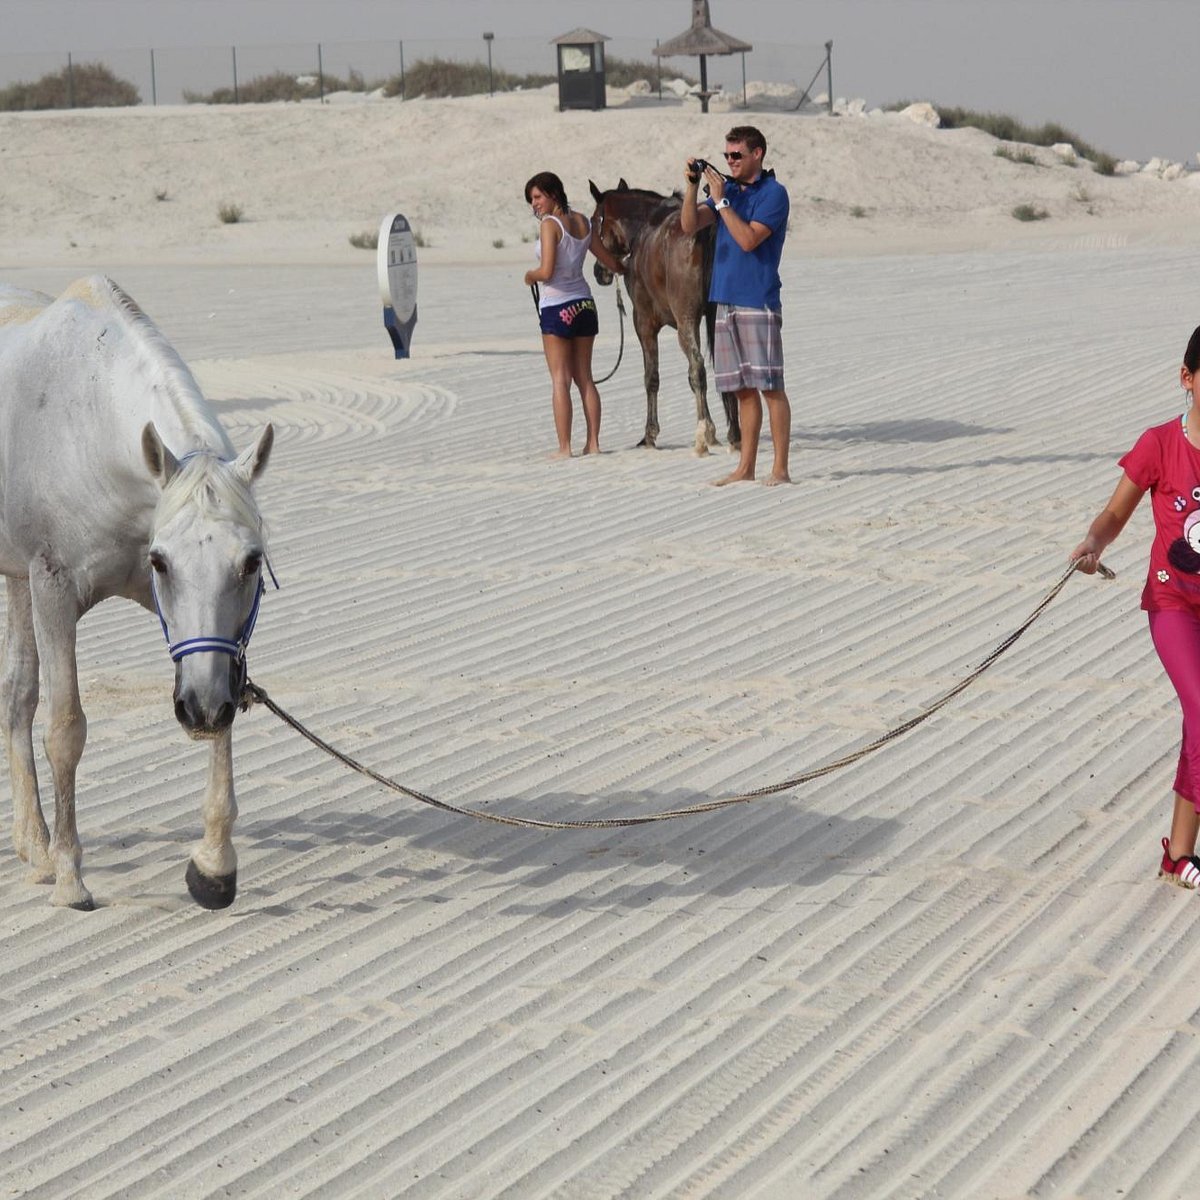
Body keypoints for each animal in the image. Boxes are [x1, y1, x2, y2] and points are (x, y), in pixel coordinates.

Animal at [0, 274, 272, 907]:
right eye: (161, 561)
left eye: (251, 561)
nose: (199, 709)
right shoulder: (53, 590)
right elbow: (66, 728)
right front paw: (71, 877)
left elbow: (224, 715)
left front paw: (214, 866)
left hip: (16, 583)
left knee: (16, 693)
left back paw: (33, 845)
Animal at [585, 178, 734, 453]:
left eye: (594, 220)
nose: (599, 272)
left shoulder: (644, 323)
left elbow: (651, 377)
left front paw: (649, 434)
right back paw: (734, 433)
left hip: (685, 322)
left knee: (697, 367)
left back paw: (703, 432)